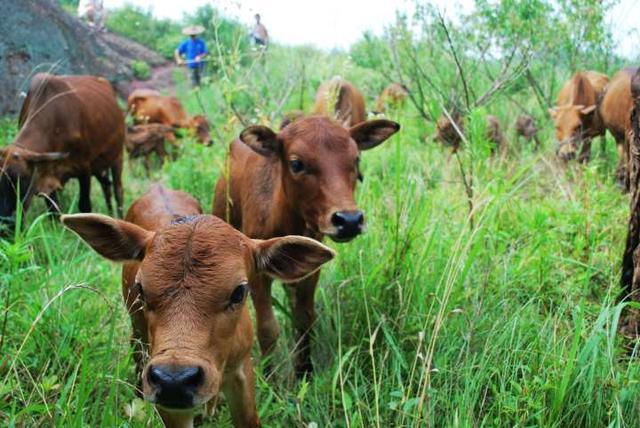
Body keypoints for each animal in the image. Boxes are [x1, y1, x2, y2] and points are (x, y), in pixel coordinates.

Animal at [212, 114, 398, 378]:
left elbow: (304, 319)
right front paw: (270, 378)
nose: (349, 220)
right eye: (297, 163)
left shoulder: (310, 270)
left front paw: (304, 372)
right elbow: (267, 328)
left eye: (356, 159)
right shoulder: (256, 274)